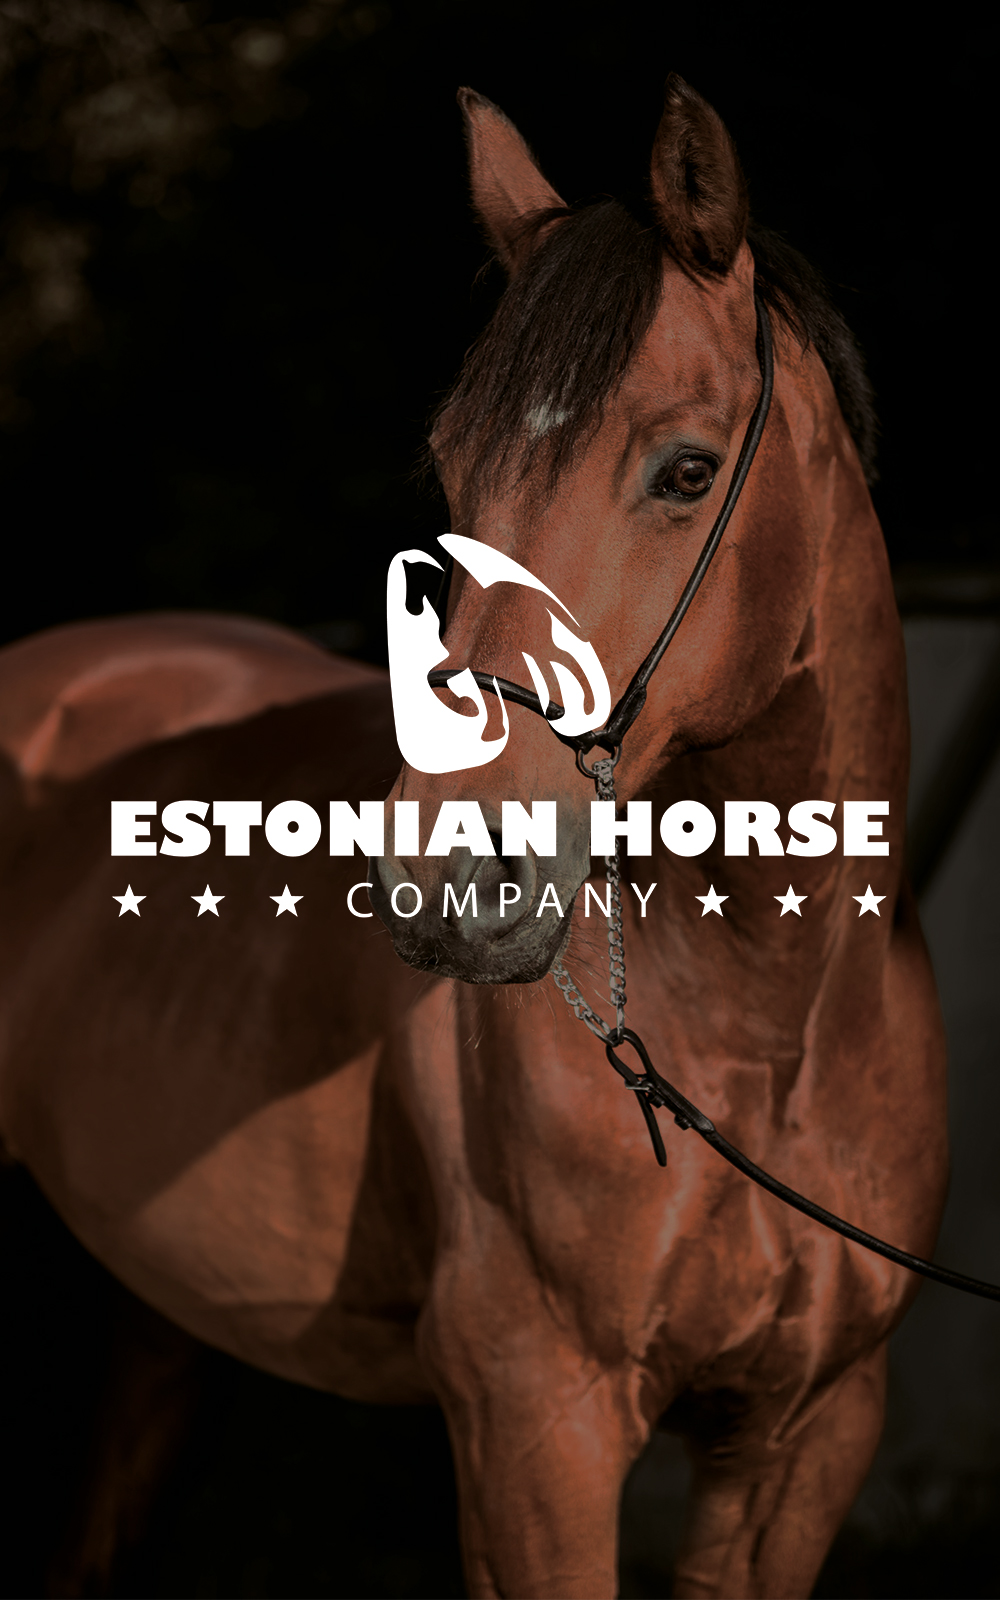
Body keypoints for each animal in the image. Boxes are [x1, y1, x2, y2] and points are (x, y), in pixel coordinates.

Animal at [0, 76, 947, 1598]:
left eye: (686, 470)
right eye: (454, 473)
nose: (441, 878)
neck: (766, 1028)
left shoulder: (804, 1439)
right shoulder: (535, 1423)